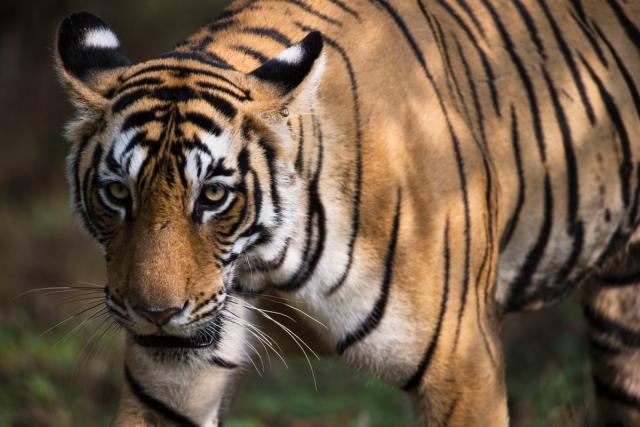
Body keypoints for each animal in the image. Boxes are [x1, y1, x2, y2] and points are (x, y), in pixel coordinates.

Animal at [53, 0, 640, 425]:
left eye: (213, 197)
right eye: (118, 193)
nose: (155, 314)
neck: (265, 265)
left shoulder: (462, 366)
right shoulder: (170, 386)